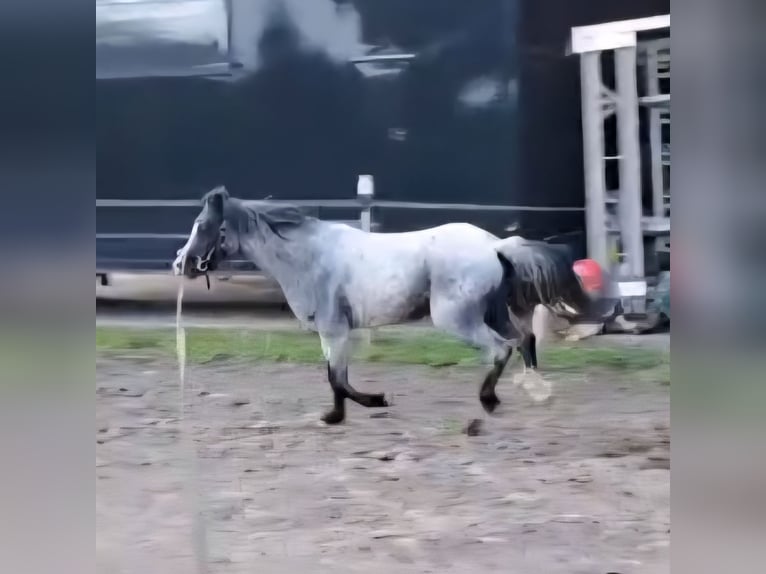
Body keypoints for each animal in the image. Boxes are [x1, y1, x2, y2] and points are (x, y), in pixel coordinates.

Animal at [172, 186, 616, 424]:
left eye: (202, 226)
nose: (181, 264)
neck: (308, 257)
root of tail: (495, 245)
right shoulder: (335, 333)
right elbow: (336, 377)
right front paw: (341, 414)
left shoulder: (334, 329)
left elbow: (337, 379)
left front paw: (362, 406)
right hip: (491, 312)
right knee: (524, 340)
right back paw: (535, 390)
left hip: (456, 318)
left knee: (501, 348)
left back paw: (489, 401)